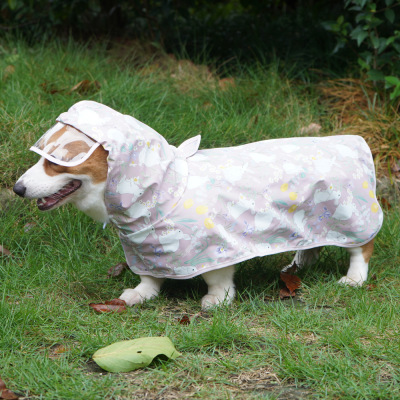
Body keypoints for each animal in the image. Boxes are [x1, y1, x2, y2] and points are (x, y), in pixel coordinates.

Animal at [13, 101, 382, 310]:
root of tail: (352, 141)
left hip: (351, 217)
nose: (17, 188)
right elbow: (150, 277)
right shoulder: (146, 249)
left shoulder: (215, 248)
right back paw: (298, 265)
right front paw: (141, 294)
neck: (164, 187)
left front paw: (217, 301)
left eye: (56, 162)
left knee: (360, 249)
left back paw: (354, 278)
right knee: (312, 243)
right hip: (312, 220)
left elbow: (217, 278)